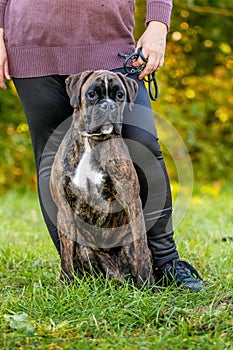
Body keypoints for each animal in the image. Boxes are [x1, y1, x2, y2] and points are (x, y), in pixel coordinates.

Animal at [50, 69, 155, 288]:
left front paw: (147, 285)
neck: (92, 141)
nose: (108, 105)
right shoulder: (64, 208)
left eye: (120, 96)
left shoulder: (131, 201)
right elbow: (66, 254)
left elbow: (141, 249)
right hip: (85, 250)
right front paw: (66, 285)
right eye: (92, 94)